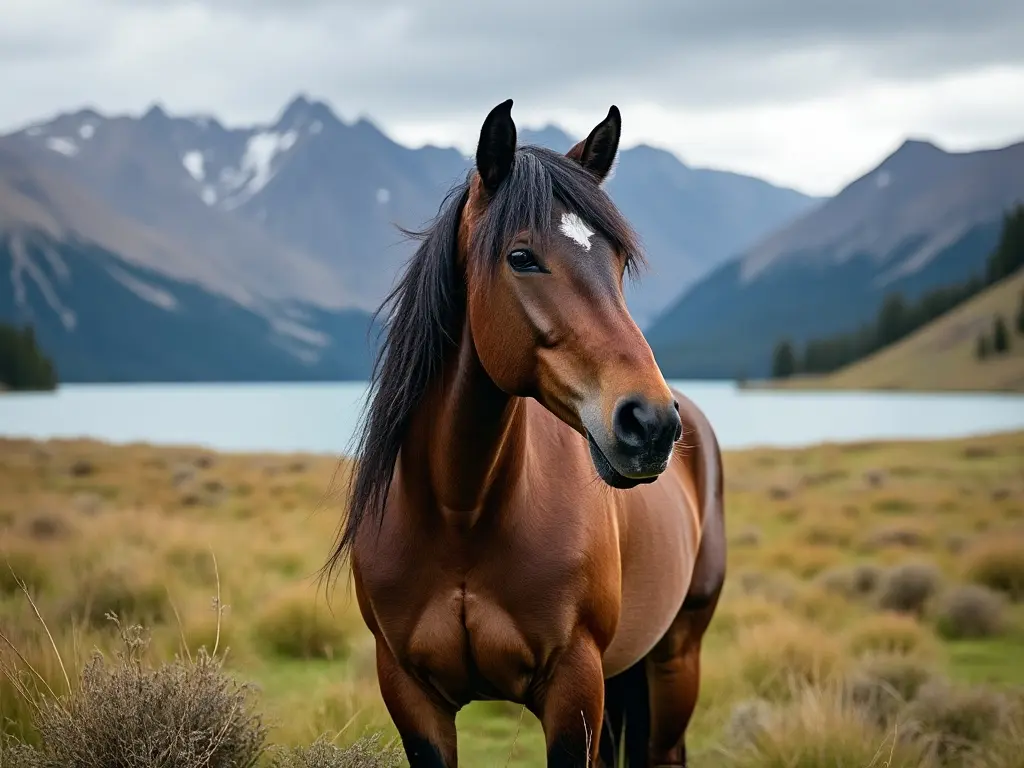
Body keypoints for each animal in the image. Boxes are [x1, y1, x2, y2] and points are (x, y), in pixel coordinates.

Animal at [323, 99, 724, 765]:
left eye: (618, 262)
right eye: (521, 257)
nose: (650, 423)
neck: (462, 513)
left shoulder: (574, 688)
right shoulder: (410, 695)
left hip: (676, 659)